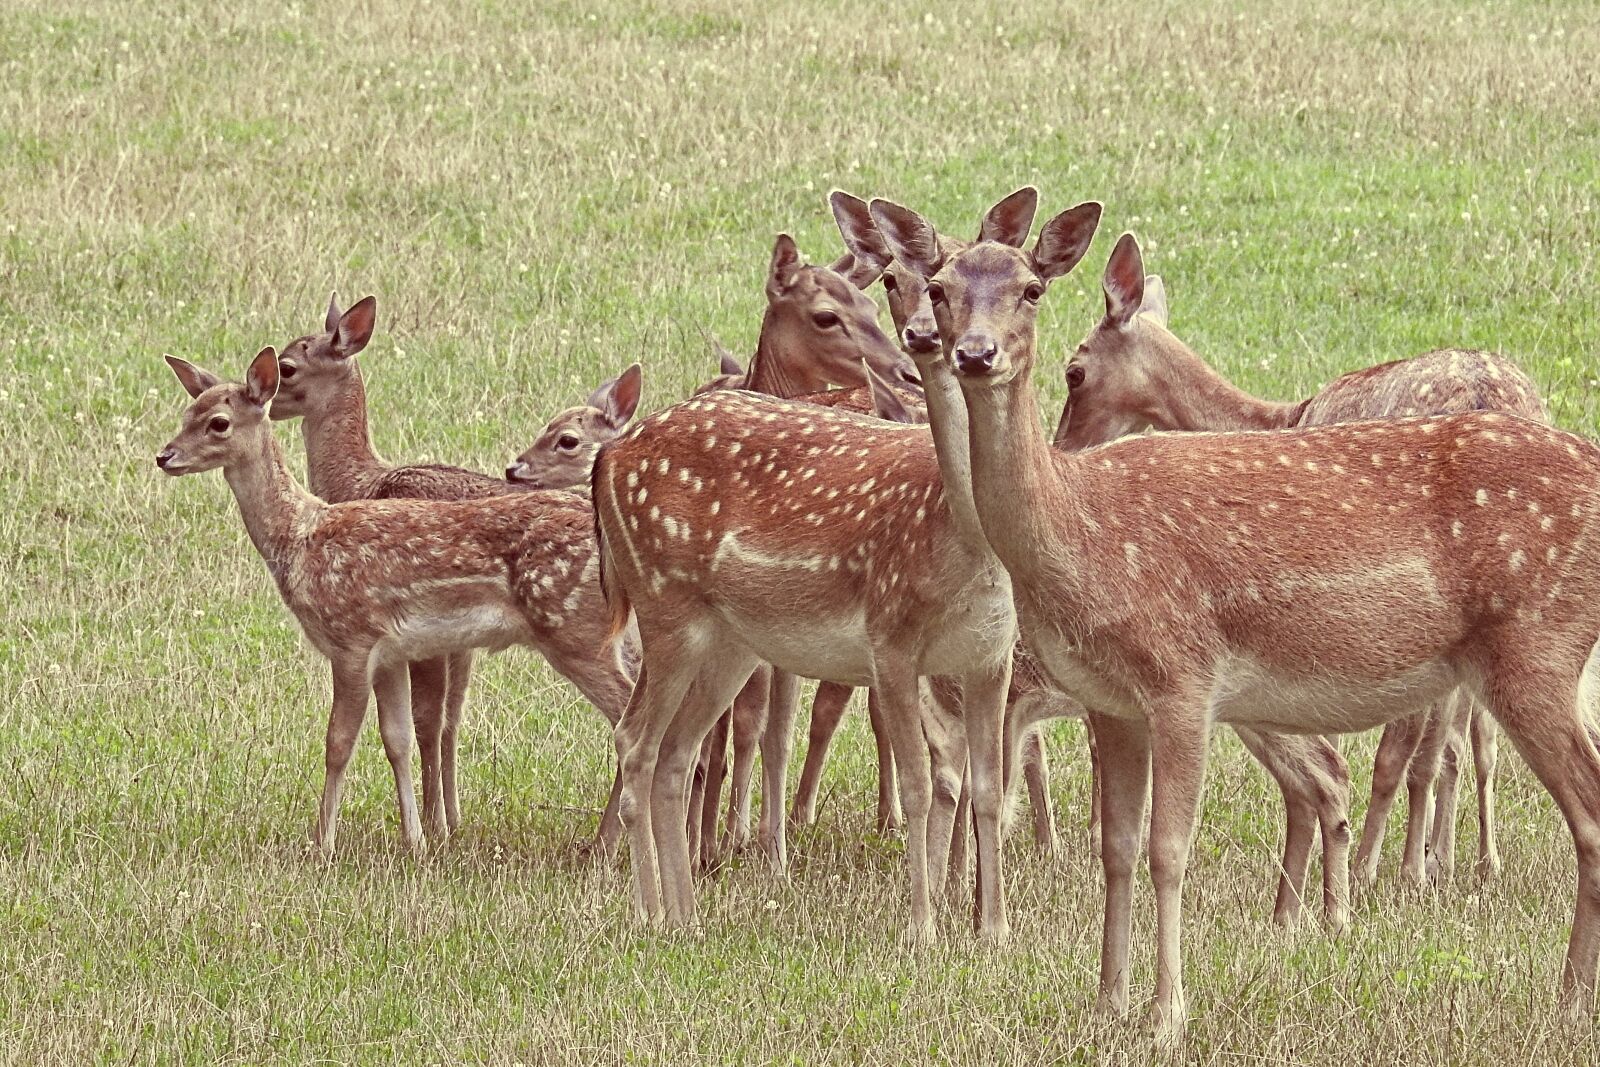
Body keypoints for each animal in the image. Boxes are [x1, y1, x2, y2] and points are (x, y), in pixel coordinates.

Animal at [158, 347, 636, 857]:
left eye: (219, 423)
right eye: (187, 412)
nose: (164, 456)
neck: (301, 538)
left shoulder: (351, 639)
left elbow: (338, 742)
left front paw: (323, 844)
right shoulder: (390, 652)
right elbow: (398, 738)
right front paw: (416, 840)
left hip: (574, 628)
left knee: (630, 721)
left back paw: (607, 844)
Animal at [846, 193, 1352, 929]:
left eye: (1075, 368)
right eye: (917, 283)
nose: (956, 349)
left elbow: (983, 791)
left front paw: (975, 910)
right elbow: (960, 787)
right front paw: (951, 899)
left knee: (1331, 774)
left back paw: (1331, 913)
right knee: (1317, 780)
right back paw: (1296, 916)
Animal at [1055, 235, 1545, 888]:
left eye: (1074, 371)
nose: (1060, 445)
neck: (1286, 415)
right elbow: (1460, 740)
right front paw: (1443, 859)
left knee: (1414, 746)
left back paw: (1383, 868)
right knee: (1466, 738)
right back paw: (1458, 861)